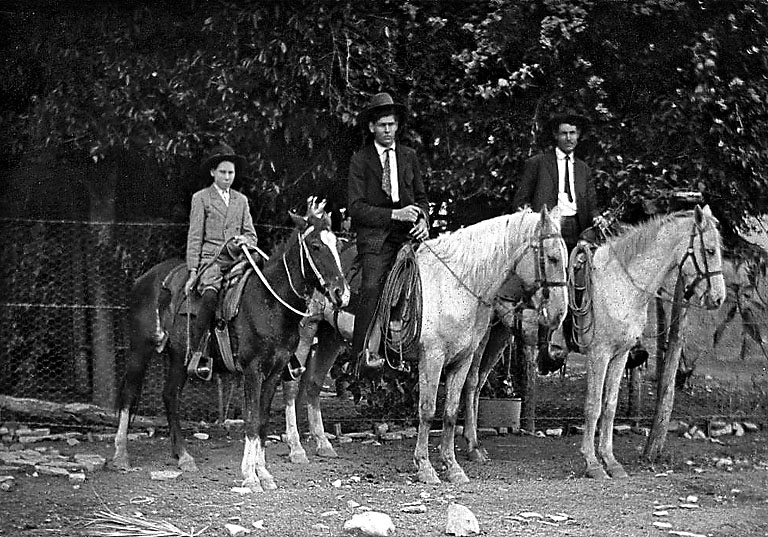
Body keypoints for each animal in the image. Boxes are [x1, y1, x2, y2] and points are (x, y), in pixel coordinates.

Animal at [112, 207, 352, 492]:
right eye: (315, 246)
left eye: (338, 245)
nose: (341, 294)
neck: (269, 302)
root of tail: (145, 278)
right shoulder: (252, 371)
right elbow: (251, 421)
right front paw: (250, 476)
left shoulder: (274, 372)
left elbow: (261, 422)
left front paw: (264, 473)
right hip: (141, 349)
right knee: (129, 395)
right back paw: (121, 455)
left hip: (179, 358)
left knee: (170, 396)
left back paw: (183, 456)